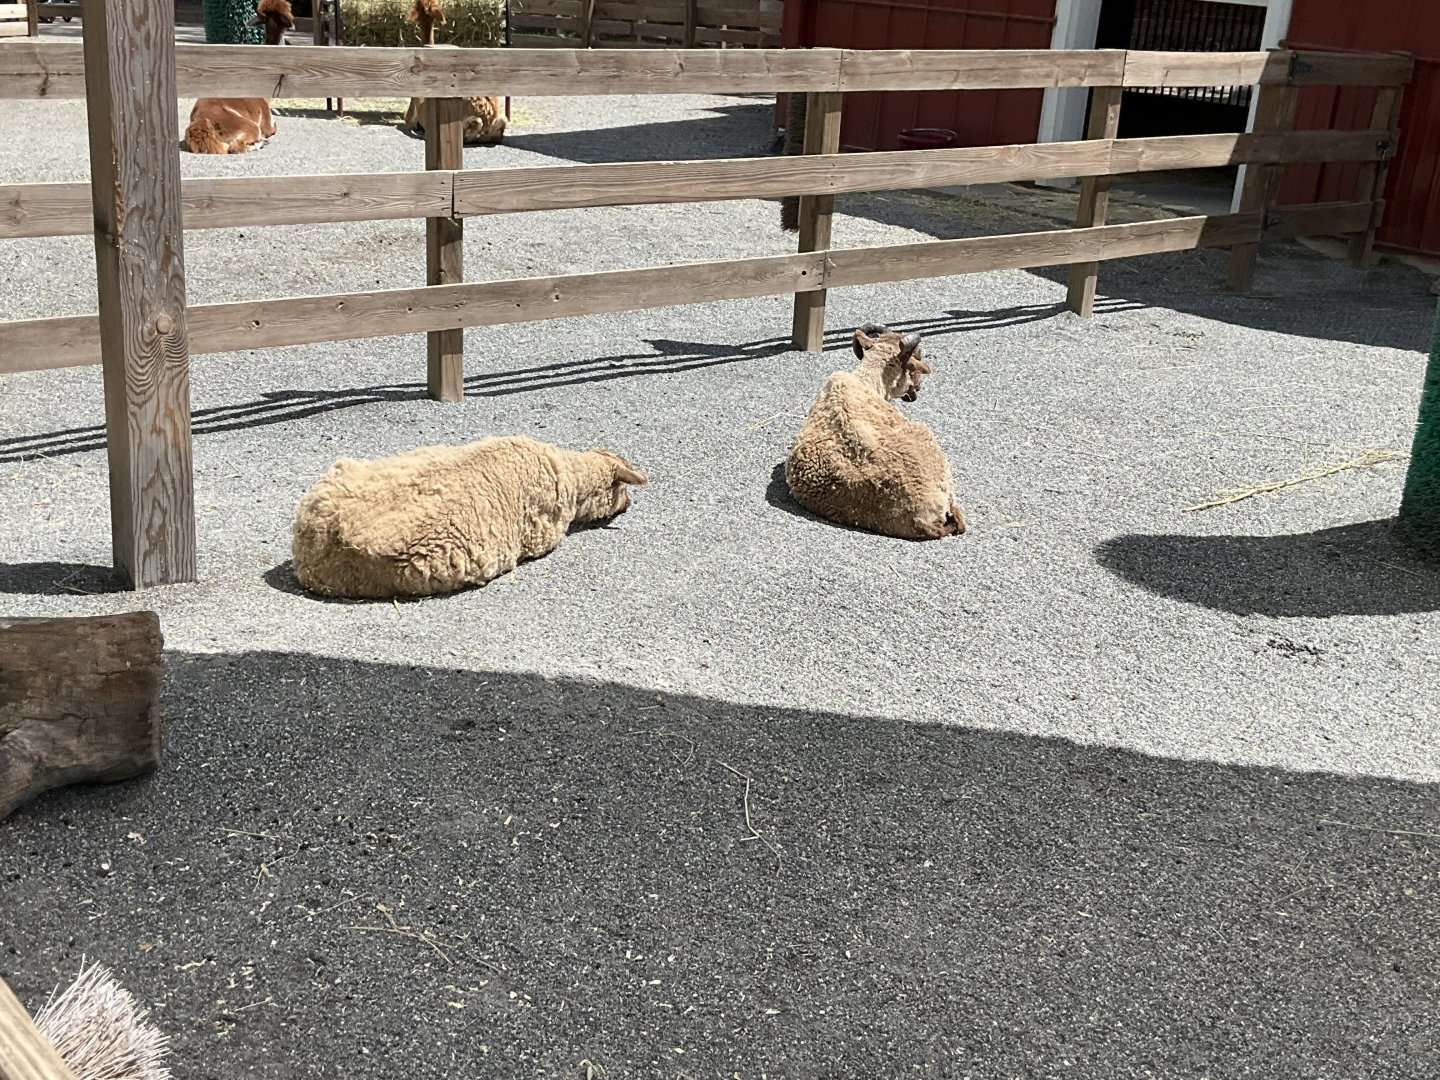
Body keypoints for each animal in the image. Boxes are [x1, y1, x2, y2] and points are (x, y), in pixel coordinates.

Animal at [183, 0, 293, 155]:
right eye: (286, 15)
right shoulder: (267, 122)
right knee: (236, 146)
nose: (292, 26)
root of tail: (200, 122)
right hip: (243, 123)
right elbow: (273, 128)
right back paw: (261, 143)